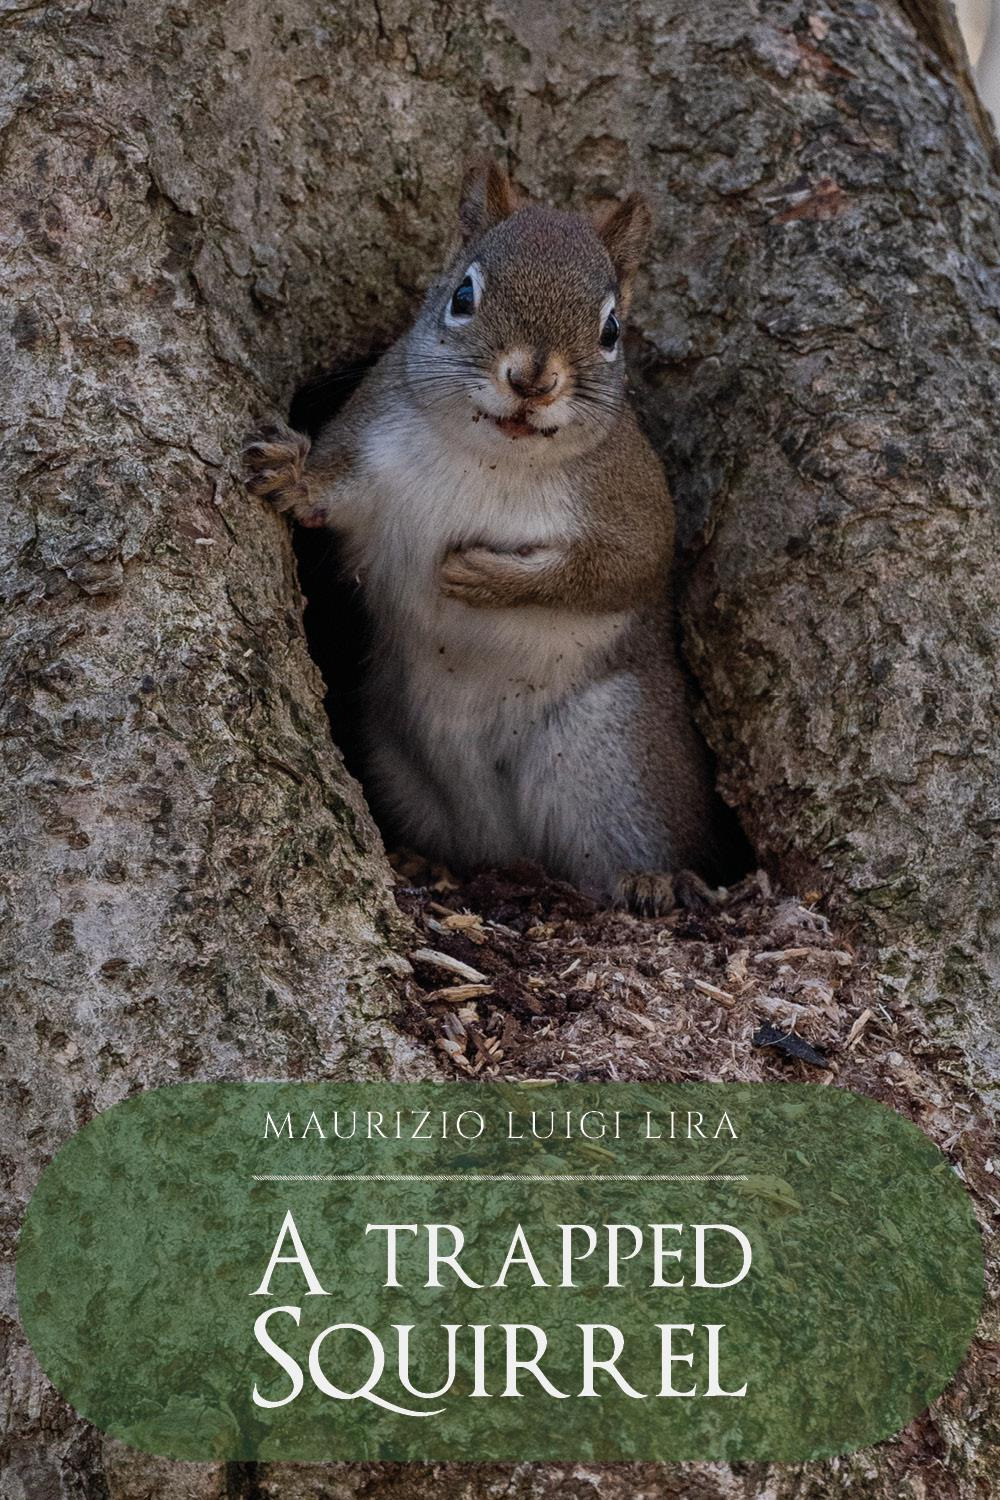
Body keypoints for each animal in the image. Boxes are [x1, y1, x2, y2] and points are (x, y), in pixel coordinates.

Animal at [245, 161, 721, 914]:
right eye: (462, 295)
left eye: (613, 329)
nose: (533, 379)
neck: (492, 458)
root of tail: (503, 846)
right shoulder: (369, 453)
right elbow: (327, 496)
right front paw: (287, 473)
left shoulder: (635, 510)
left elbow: (618, 571)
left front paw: (490, 578)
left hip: (622, 757)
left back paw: (652, 880)